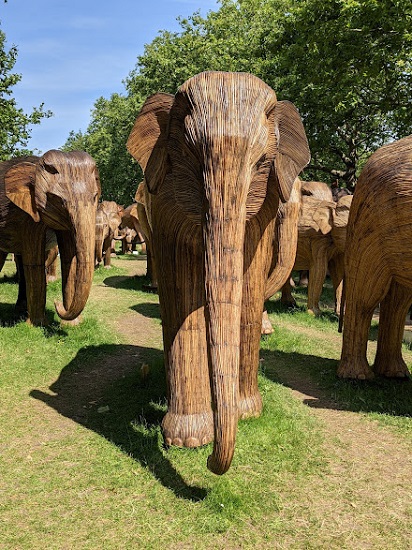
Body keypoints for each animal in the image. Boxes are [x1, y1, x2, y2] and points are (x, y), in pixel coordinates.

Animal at [0, 150, 100, 325]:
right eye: (57, 199)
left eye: (95, 197)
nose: (56, 304)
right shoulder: (27, 215)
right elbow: (34, 263)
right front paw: (37, 325)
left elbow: (69, 260)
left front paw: (73, 325)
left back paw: (19, 311)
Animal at [127, 71, 310, 474]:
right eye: (192, 161)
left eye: (260, 165)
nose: (212, 464)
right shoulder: (164, 202)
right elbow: (182, 298)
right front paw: (187, 440)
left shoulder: (264, 207)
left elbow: (249, 287)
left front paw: (247, 414)